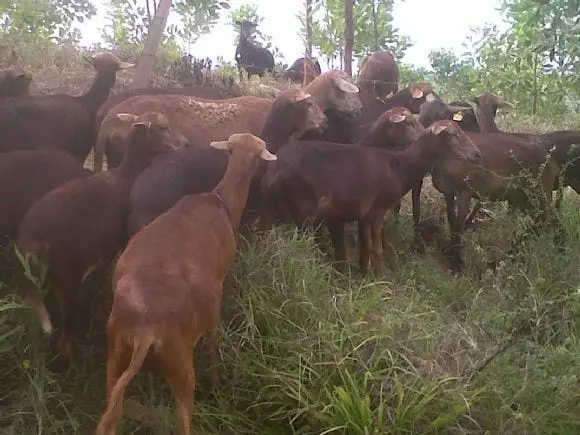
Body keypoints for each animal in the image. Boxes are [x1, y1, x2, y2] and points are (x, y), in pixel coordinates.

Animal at [15, 112, 187, 364]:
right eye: (163, 127)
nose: (185, 144)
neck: (127, 174)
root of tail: (29, 244)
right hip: (66, 277)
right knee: (65, 336)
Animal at [95, 133, 276, 435]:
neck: (221, 202)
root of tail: (145, 331)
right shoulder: (217, 290)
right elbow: (214, 338)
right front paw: (216, 380)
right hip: (179, 365)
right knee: (183, 420)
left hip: (115, 355)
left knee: (112, 413)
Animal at [260, 112, 482, 276]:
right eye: (453, 134)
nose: (477, 154)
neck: (401, 168)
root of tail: (276, 168)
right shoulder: (377, 210)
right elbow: (377, 248)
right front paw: (380, 278)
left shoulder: (364, 215)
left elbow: (366, 246)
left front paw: (365, 273)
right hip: (303, 211)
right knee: (299, 248)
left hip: (274, 211)